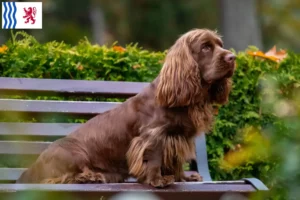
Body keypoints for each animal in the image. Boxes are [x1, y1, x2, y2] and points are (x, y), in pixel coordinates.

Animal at [17, 28, 236, 188]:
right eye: (205, 47)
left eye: (220, 45)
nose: (232, 57)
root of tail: (32, 167)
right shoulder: (153, 135)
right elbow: (154, 158)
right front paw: (157, 180)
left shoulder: (178, 137)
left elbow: (176, 161)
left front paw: (183, 177)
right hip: (75, 154)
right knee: (55, 179)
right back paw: (88, 177)